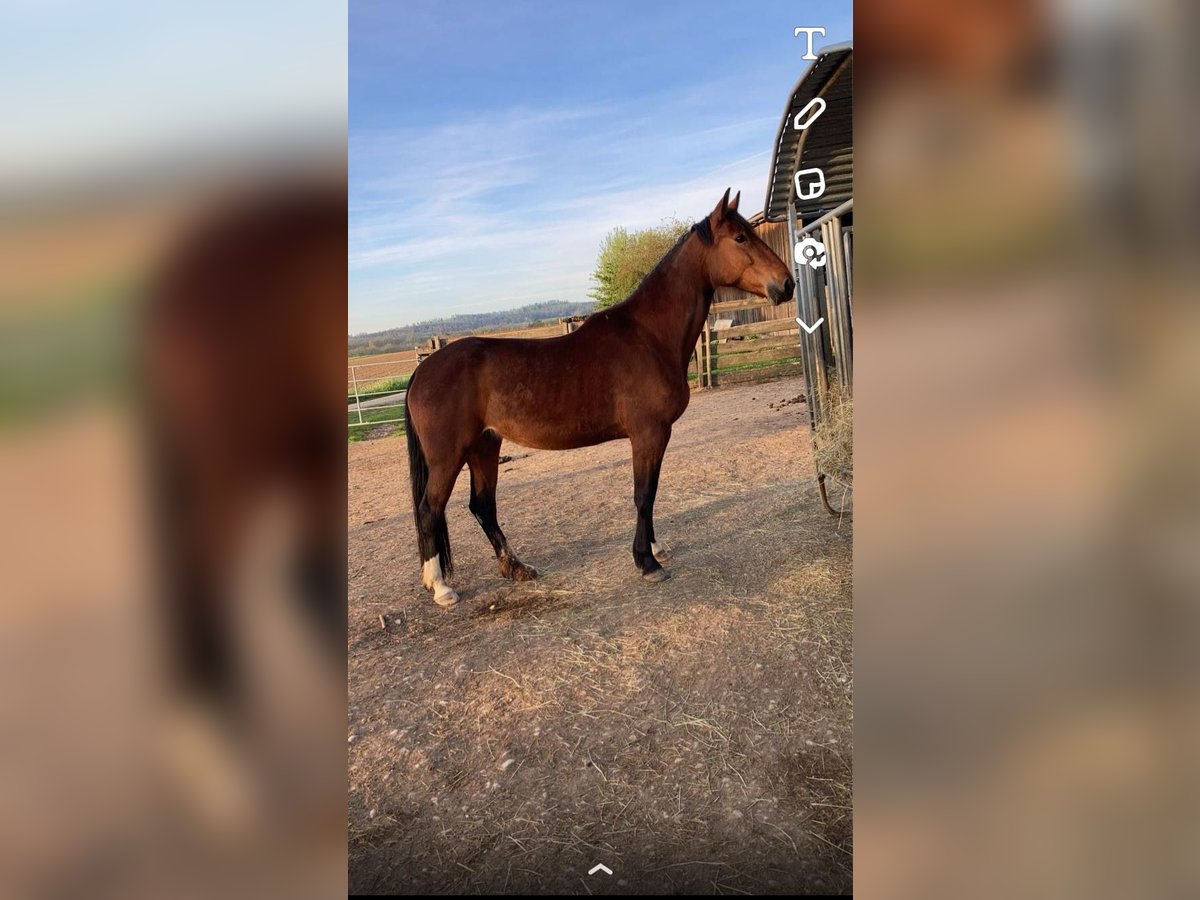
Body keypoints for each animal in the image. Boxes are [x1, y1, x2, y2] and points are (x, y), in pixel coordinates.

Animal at [405, 189, 796, 607]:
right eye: (740, 238)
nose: (786, 284)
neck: (648, 335)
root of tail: (422, 371)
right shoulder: (648, 433)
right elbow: (643, 494)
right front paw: (647, 563)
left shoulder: (655, 437)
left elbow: (651, 493)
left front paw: (654, 549)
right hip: (450, 456)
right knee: (430, 509)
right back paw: (441, 587)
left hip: (484, 446)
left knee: (483, 506)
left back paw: (517, 568)